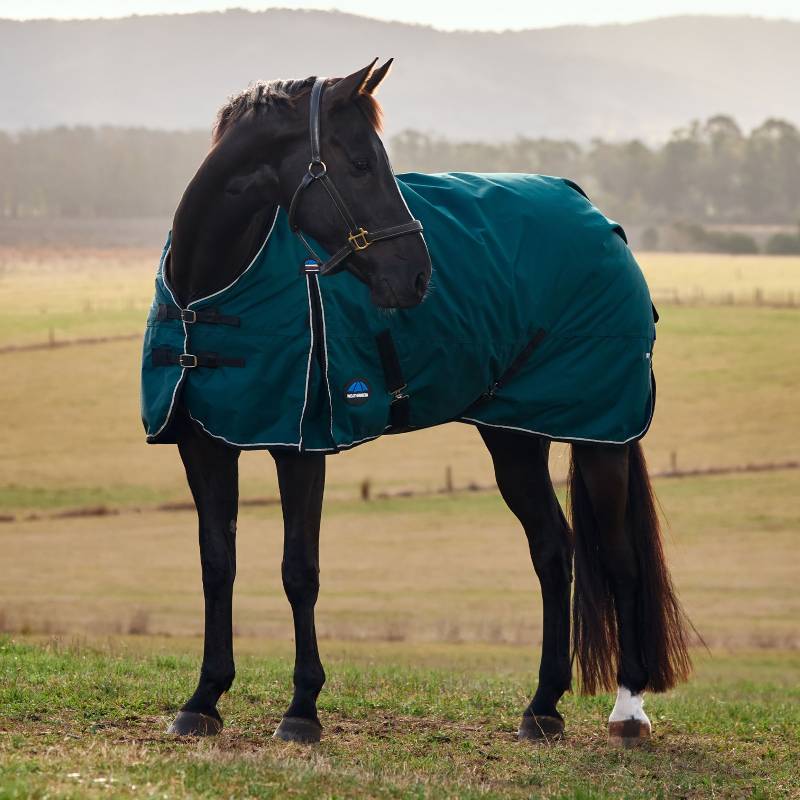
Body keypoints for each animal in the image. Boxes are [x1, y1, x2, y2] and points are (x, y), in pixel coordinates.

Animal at [146, 59, 691, 746]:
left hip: (601, 436)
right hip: (515, 435)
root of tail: (598, 217)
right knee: (554, 550)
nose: (417, 276)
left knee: (620, 560)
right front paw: (204, 700)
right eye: (358, 164)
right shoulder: (204, 441)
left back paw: (628, 710)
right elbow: (218, 564)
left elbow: (299, 571)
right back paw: (542, 706)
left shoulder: (302, 446)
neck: (210, 291)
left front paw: (302, 710)